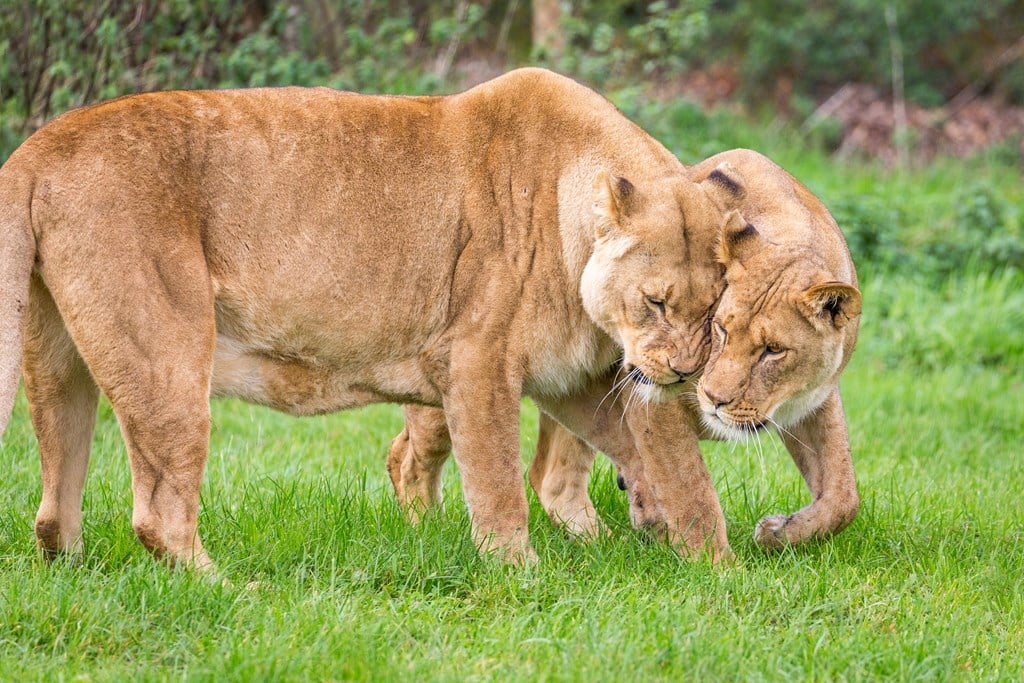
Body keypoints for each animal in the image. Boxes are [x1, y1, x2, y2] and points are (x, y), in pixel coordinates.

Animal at [0, 69, 745, 573]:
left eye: (713, 310)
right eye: (655, 301)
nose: (683, 372)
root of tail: (38, 146)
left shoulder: (574, 381)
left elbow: (667, 463)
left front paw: (711, 563)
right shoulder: (474, 361)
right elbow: (499, 480)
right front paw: (521, 572)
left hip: (58, 356)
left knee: (53, 504)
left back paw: (76, 571)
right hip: (168, 354)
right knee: (159, 511)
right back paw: (229, 587)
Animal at [391, 147, 864, 552]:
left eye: (773, 351)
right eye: (721, 329)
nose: (714, 399)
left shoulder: (815, 402)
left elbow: (844, 495)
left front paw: (779, 533)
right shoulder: (650, 399)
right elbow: (691, 490)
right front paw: (719, 572)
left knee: (549, 474)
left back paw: (605, 541)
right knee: (407, 454)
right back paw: (426, 532)